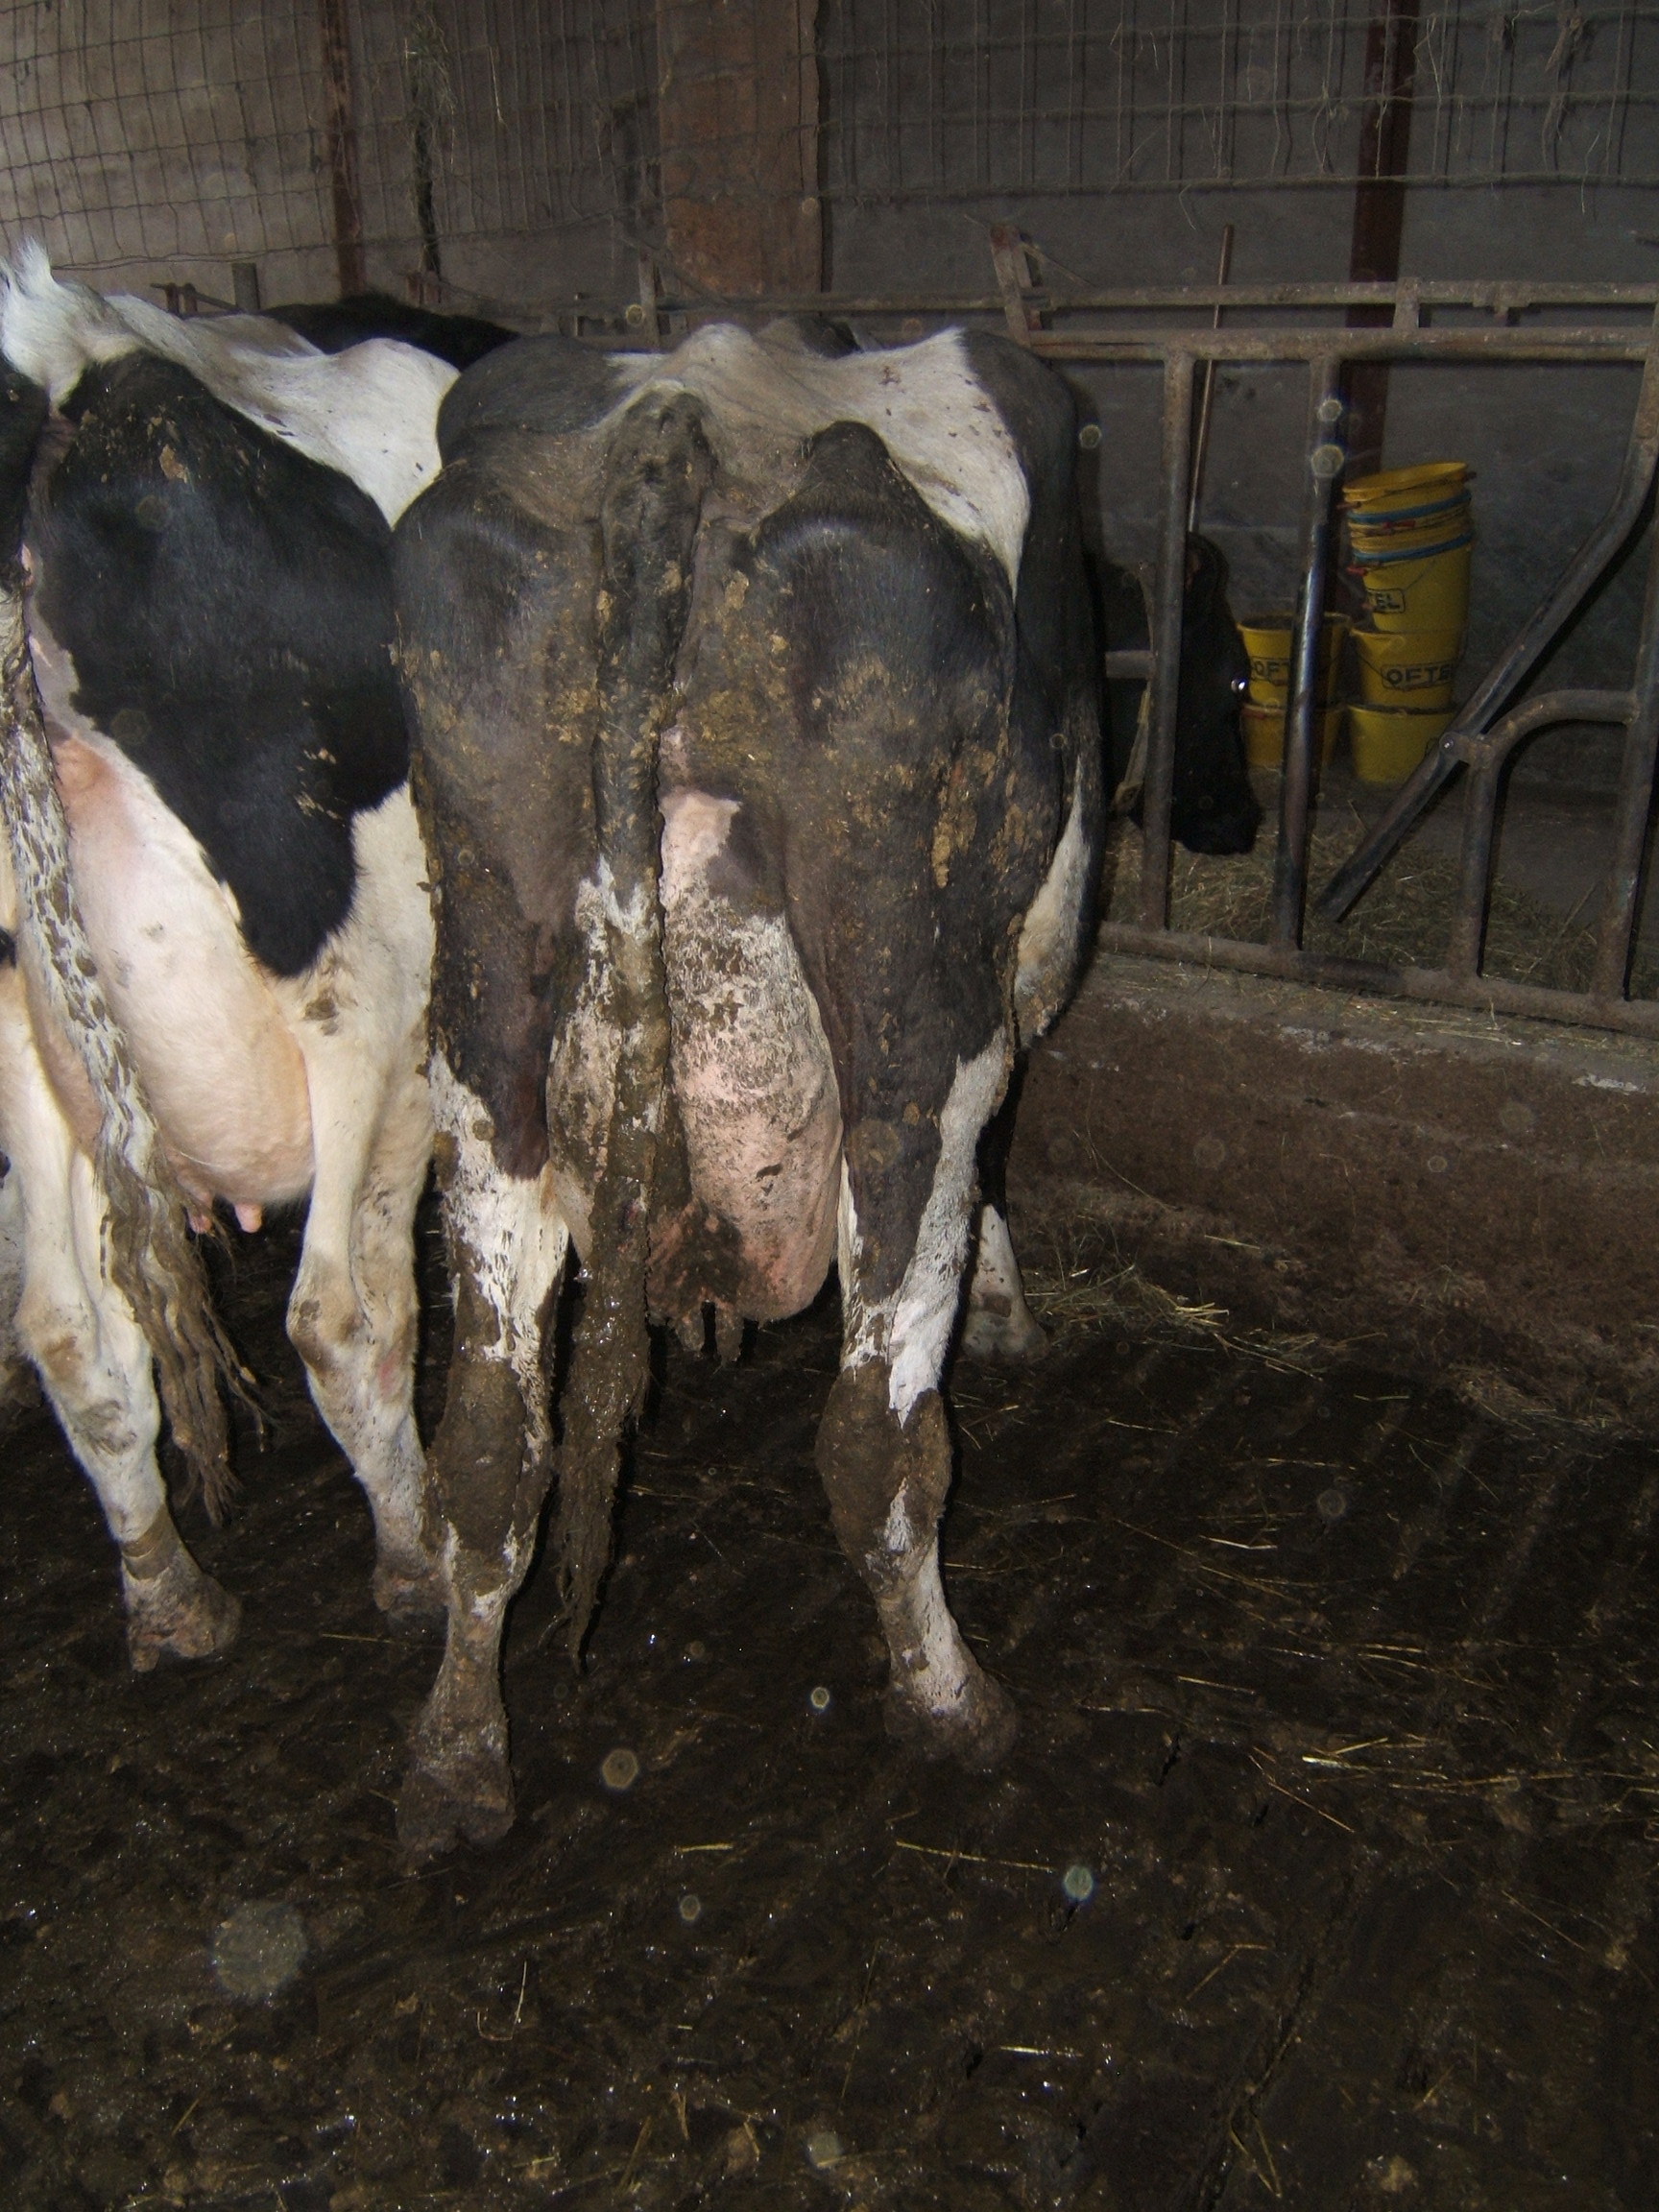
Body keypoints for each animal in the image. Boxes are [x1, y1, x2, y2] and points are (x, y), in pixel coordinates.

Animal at [0, 248, 501, 1669]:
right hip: (362, 994)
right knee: (339, 1313)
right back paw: (412, 1557)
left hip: (26, 1029)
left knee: (71, 1333)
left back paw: (169, 1593)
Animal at [390, 319, 1109, 1856]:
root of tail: (683, 413)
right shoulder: (1034, 946)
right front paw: (1009, 1304)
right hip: (905, 1013)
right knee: (877, 1434)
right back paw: (955, 1702)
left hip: (487, 998)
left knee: (489, 1442)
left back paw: (456, 1756)